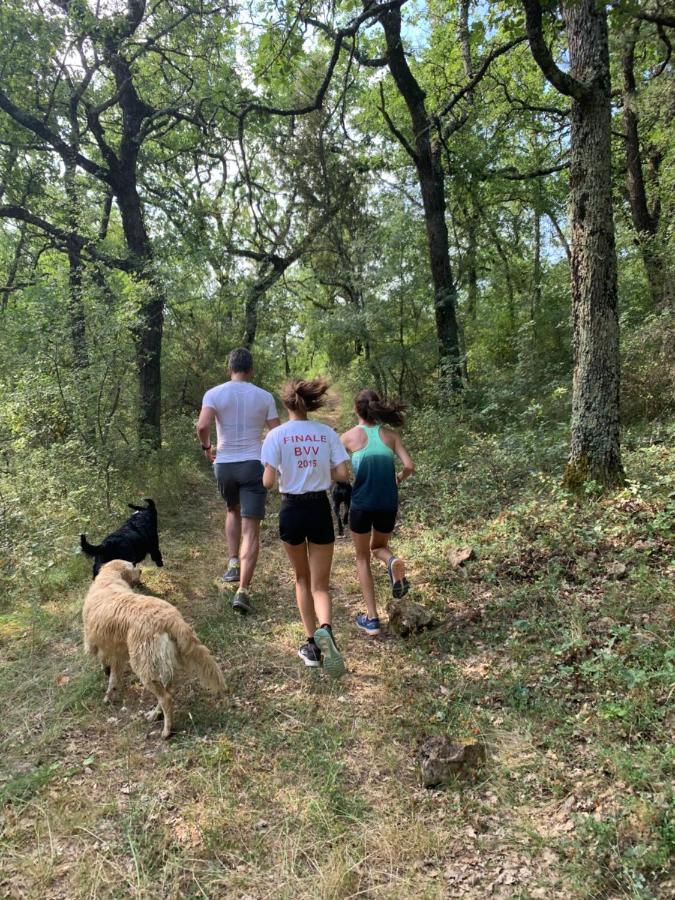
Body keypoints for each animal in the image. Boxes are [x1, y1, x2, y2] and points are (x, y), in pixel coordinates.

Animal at [83, 564, 226, 740]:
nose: (141, 570)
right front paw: (110, 693)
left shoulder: (95, 643)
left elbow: (104, 664)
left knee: (166, 698)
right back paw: (154, 715)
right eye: (133, 565)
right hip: (163, 664)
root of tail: (171, 619)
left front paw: (106, 682)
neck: (109, 579)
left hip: (144, 667)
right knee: (168, 692)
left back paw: (166, 731)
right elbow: (113, 678)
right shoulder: (117, 654)